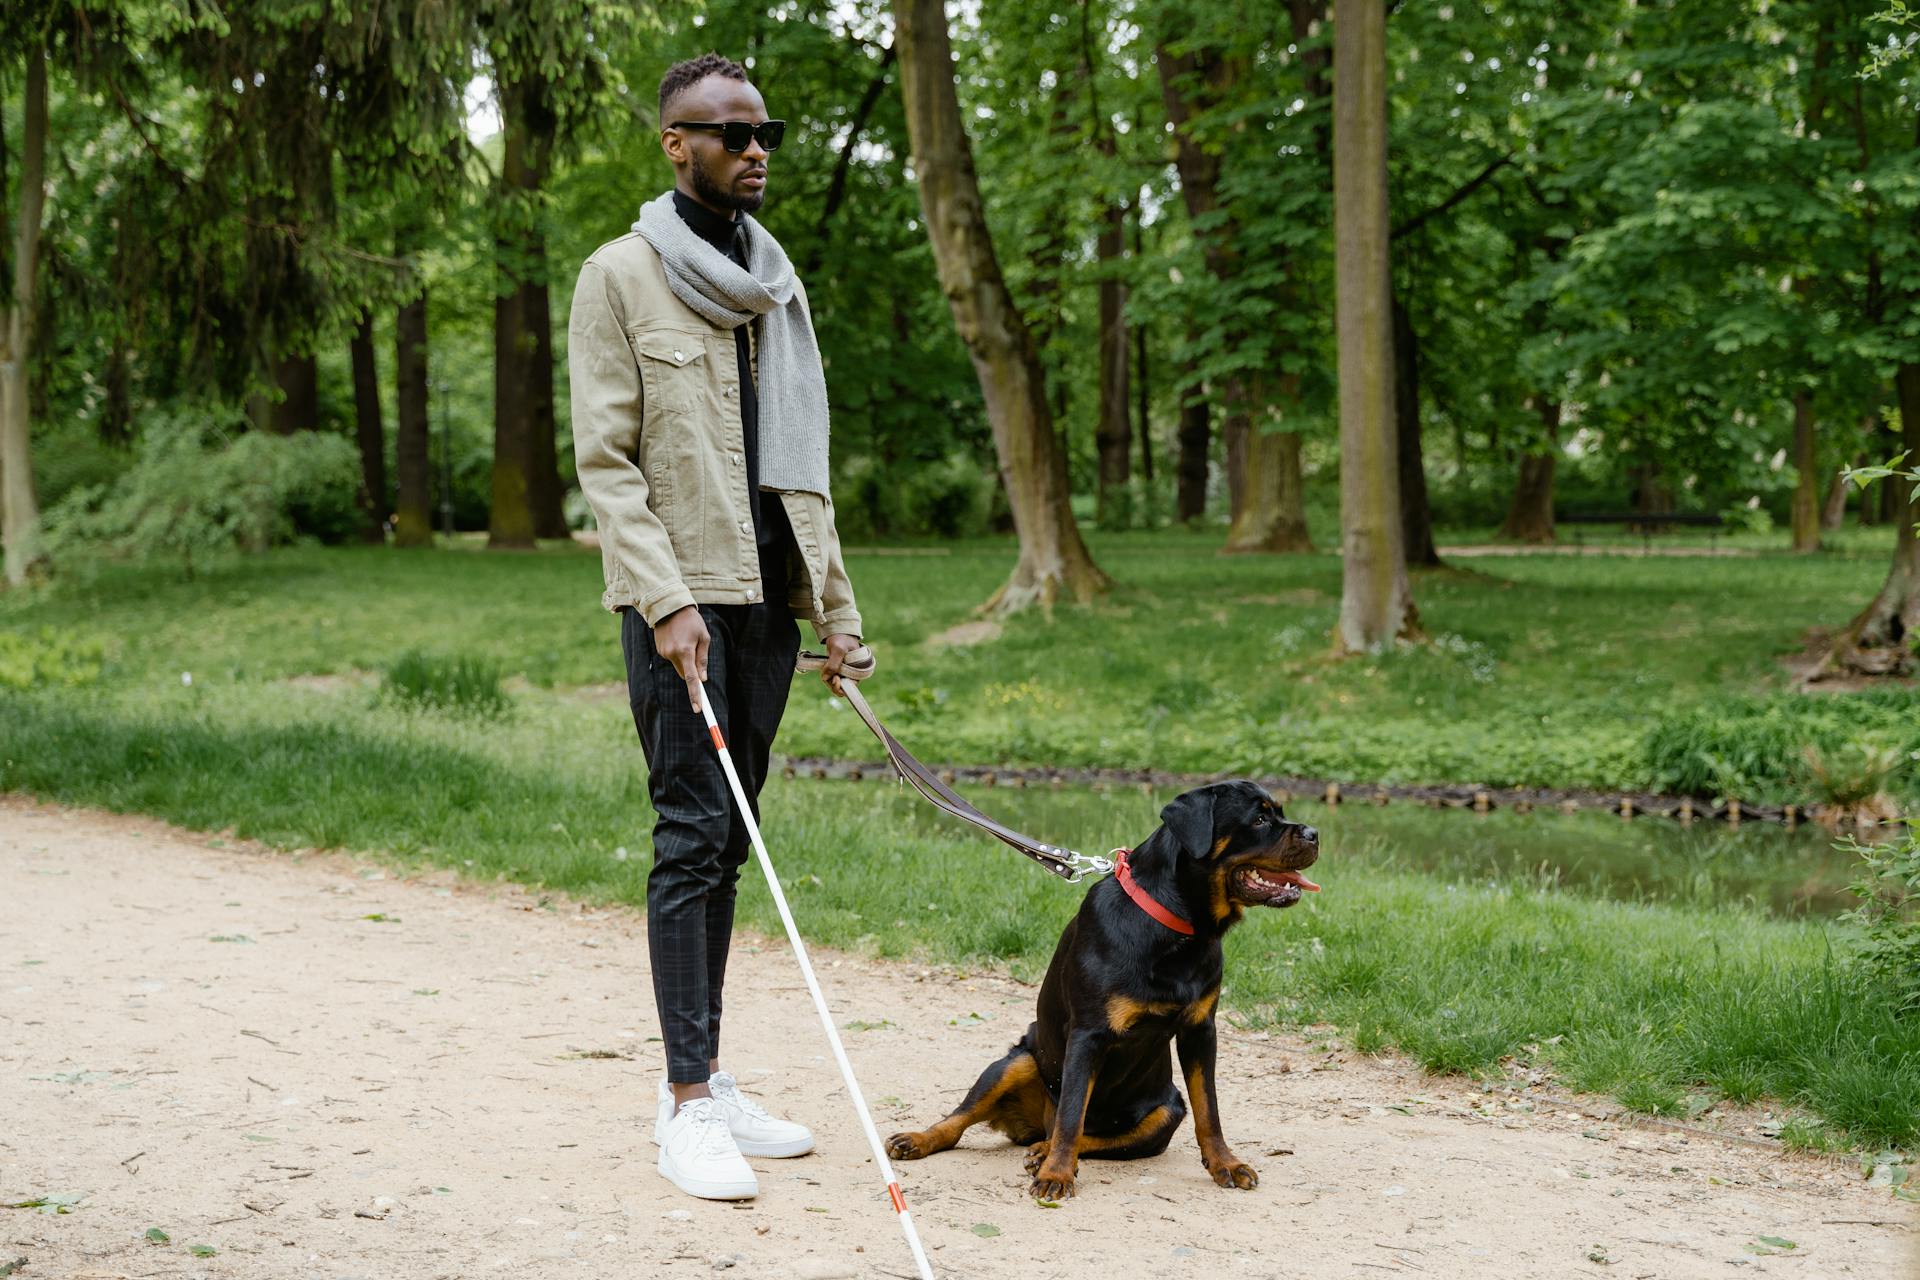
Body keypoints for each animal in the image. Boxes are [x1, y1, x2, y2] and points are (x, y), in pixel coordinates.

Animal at [887, 782, 1320, 1205]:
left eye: (1279, 813)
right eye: (1260, 818)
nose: (1314, 833)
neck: (1176, 929)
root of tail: (1031, 1127)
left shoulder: (1200, 1031)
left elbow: (1208, 1109)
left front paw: (1225, 1164)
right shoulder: (1089, 1034)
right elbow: (1071, 1114)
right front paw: (1057, 1174)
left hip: (1166, 1110)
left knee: (1092, 1137)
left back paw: (1041, 1152)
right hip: (1016, 1061)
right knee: (968, 1119)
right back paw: (921, 1140)